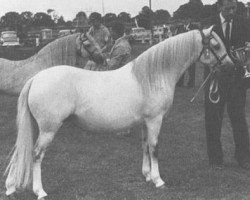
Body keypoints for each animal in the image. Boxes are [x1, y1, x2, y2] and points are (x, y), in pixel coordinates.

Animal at [4, 27, 233, 200]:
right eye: (215, 45)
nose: (231, 67)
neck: (152, 75)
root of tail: (36, 78)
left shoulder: (145, 122)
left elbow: (145, 146)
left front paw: (147, 175)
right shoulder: (155, 120)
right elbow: (155, 148)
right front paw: (158, 181)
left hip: (37, 127)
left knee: (23, 151)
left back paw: (12, 187)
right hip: (48, 130)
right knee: (36, 155)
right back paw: (40, 191)